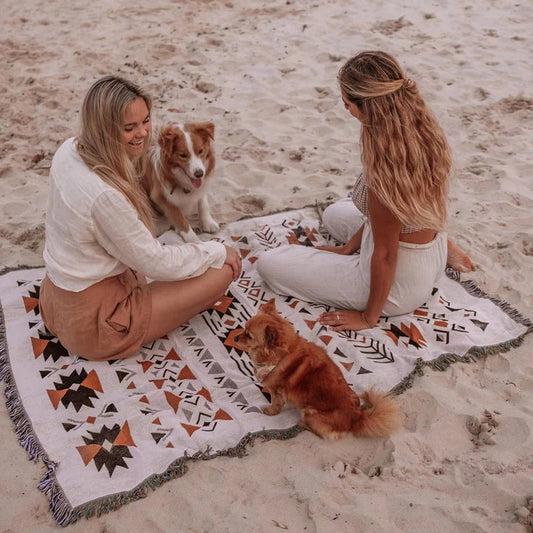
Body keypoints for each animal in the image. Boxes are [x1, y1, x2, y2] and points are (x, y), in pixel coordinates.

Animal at [234, 300, 404, 440]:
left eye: (249, 336)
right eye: (243, 329)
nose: (235, 338)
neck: (279, 356)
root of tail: (356, 417)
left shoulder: (277, 392)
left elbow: (275, 405)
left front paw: (269, 411)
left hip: (309, 412)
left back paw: (303, 424)